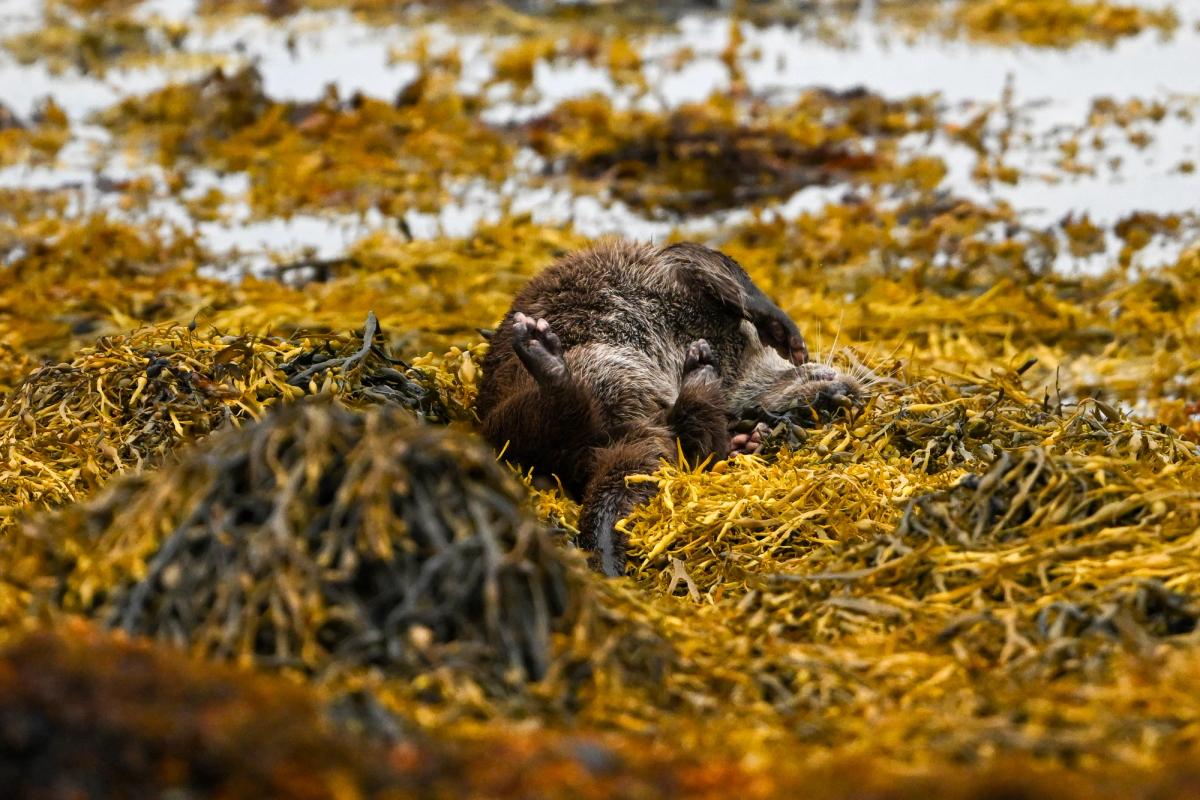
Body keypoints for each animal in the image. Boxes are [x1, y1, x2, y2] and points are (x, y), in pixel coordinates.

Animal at [477, 241, 864, 578]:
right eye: (806, 413)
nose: (841, 397)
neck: (733, 357)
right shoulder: (672, 266)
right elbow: (720, 269)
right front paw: (785, 332)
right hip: (508, 421)